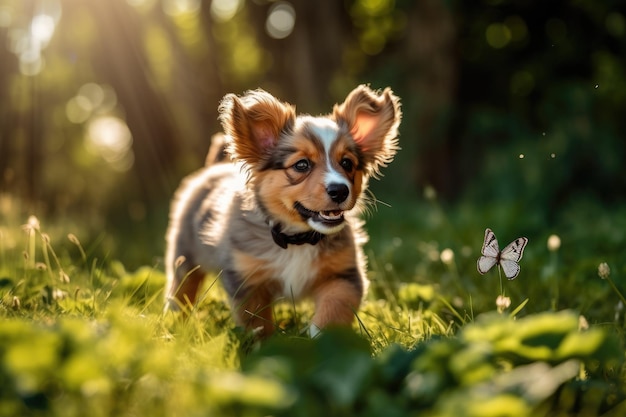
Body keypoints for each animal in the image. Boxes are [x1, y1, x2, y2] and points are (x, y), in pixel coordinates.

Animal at [165, 84, 400, 334]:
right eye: (302, 165)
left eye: (347, 163)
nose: (339, 190)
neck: (297, 240)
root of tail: (215, 168)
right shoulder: (247, 280)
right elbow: (258, 325)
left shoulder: (344, 275)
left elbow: (335, 307)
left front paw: (320, 336)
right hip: (184, 257)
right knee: (182, 289)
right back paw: (177, 324)